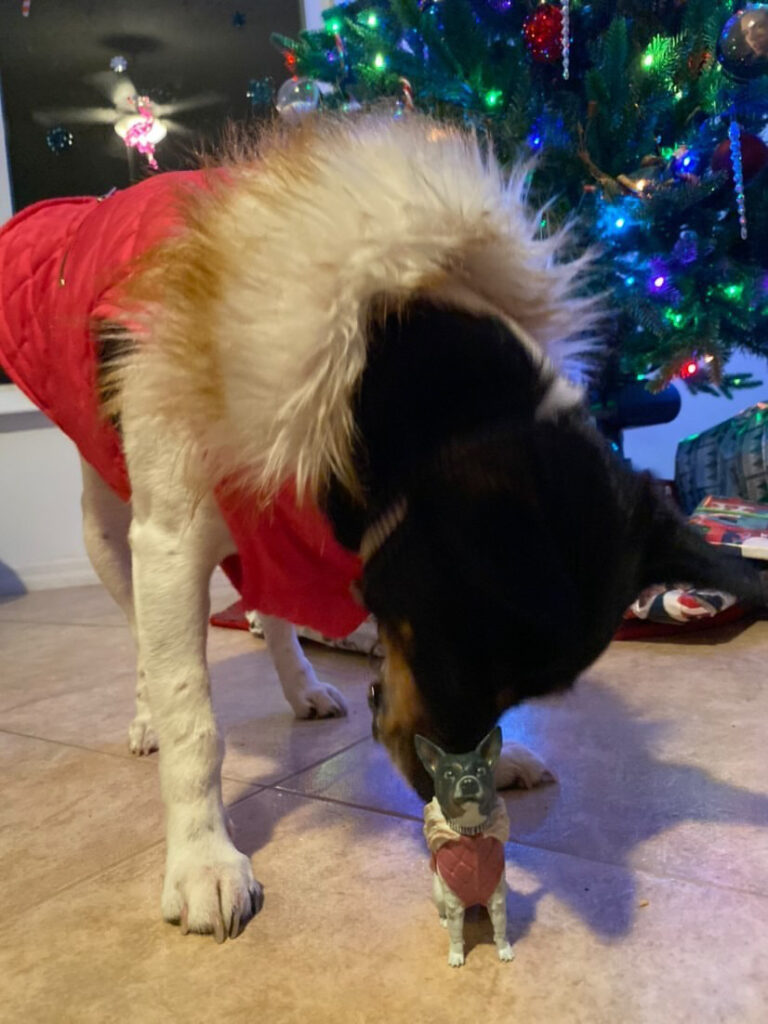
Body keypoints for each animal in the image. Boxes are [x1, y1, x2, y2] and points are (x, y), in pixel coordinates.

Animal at [1, 114, 765, 942]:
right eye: (452, 651)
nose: (461, 809)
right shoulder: (171, 541)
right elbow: (191, 716)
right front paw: (203, 859)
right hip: (110, 530)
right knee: (142, 635)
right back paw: (147, 717)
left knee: (269, 611)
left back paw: (304, 688)